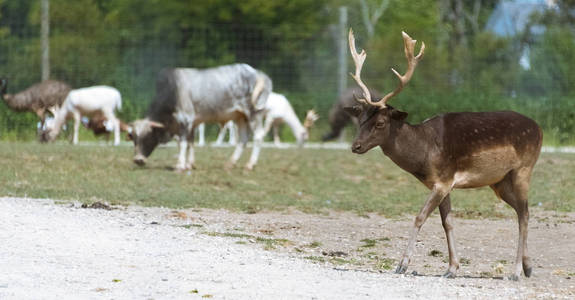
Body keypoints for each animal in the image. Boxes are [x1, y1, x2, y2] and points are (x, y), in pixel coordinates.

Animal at [130, 63, 272, 171]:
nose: (138, 160)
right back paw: (230, 163)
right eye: (134, 138)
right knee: (243, 139)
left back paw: (250, 164)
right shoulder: (191, 125)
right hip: (240, 117)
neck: (172, 92)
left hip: (254, 114)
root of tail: (257, 73)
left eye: (148, 136)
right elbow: (190, 143)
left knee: (258, 136)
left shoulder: (185, 121)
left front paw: (180, 165)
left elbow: (183, 143)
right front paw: (189, 164)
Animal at [346, 29, 544, 280]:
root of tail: (539, 129)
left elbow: (420, 216)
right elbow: (447, 222)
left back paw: (516, 271)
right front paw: (451, 268)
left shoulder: (442, 180)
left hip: (523, 169)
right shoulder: (444, 183)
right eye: (361, 119)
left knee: (525, 213)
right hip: (499, 181)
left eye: (380, 122)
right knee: (521, 210)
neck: (424, 153)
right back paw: (528, 267)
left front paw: (402, 265)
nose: (356, 146)